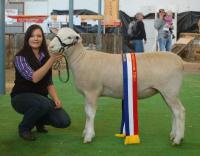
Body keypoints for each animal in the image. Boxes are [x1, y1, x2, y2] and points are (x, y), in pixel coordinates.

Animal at [48, 27, 200, 145]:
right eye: (57, 34)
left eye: (69, 37)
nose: (50, 47)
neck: (81, 58)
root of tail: (179, 61)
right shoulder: (87, 94)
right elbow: (86, 113)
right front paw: (86, 132)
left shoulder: (92, 91)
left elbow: (90, 114)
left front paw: (88, 136)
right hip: (167, 92)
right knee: (174, 112)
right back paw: (173, 135)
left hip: (170, 91)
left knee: (179, 111)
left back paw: (178, 139)